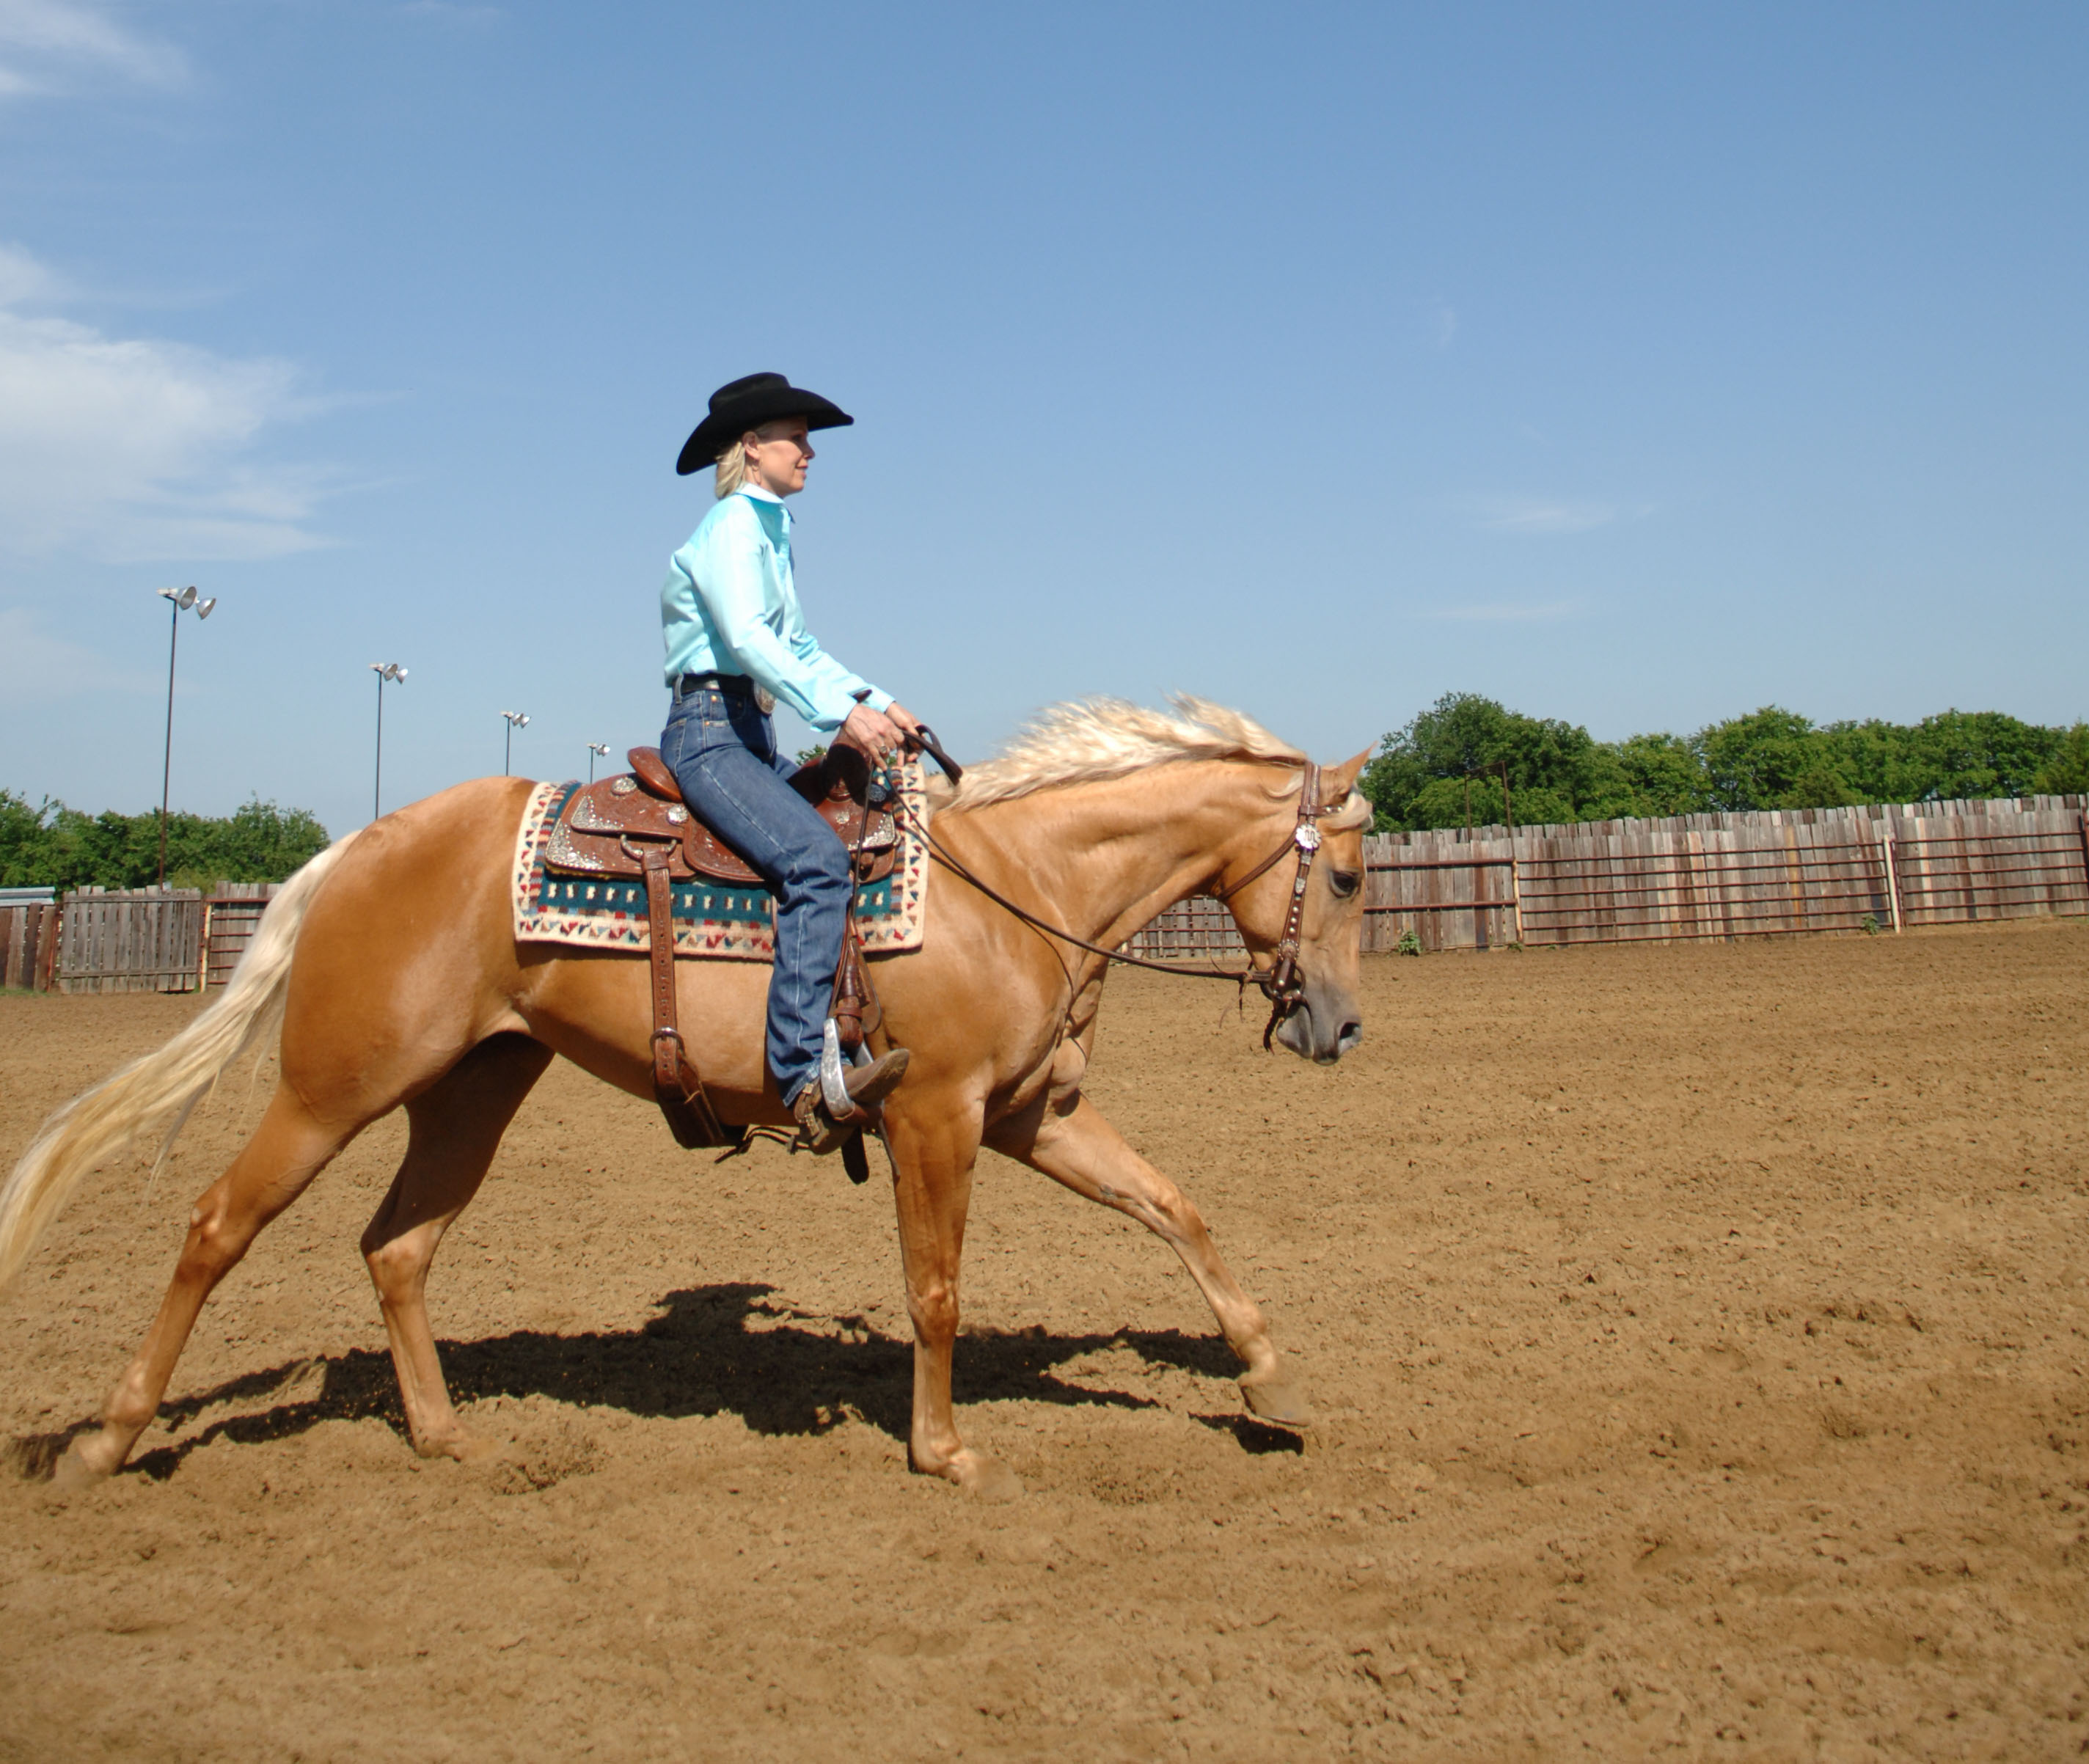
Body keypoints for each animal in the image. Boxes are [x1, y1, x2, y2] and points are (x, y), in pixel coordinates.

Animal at [8, 694, 1378, 1496]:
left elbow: (1174, 1210)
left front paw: (1272, 1383)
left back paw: (450, 1439)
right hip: (332, 1085)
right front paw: (942, 1450)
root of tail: (353, 849)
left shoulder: (1033, 1115)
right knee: (216, 1227)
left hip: (470, 1088)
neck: (1017, 882)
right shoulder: (936, 1116)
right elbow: (935, 1291)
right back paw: (103, 1443)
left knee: (397, 1248)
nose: (1344, 1023)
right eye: (1352, 878)